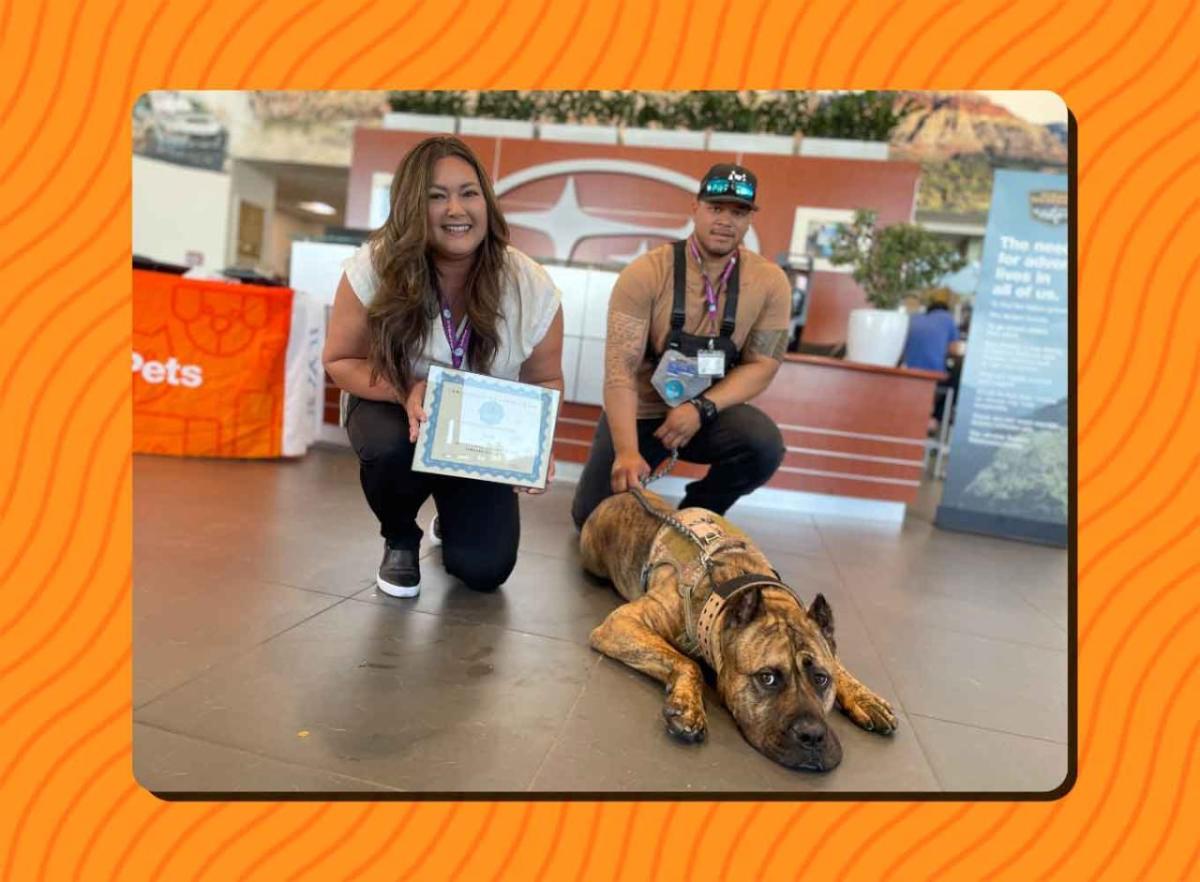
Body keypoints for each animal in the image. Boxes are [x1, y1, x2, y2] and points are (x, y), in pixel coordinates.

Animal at [576, 489, 897, 772]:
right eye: (767, 678)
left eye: (821, 678)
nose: (812, 736)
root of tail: (623, 492)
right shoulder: (623, 621)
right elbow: (689, 663)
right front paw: (688, 706)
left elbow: (840, 665)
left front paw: (864, 697)